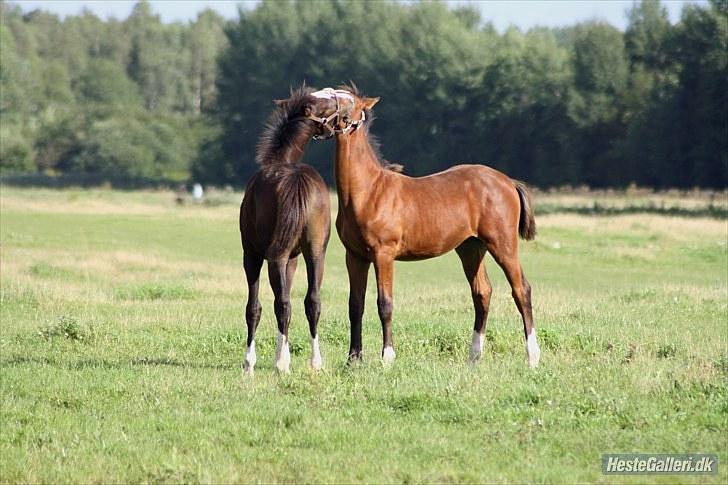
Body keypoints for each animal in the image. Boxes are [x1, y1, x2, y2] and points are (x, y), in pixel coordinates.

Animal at [308, 86, 540, 366]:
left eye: (345, 101)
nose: (311, 112)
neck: (368, 191)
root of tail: (507, 182)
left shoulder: (383, 254)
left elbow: (384, 303)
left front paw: (387, 357)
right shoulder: (354, 256)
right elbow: (355, 305)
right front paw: (353, 359)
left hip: (502, 244)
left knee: (521, 290)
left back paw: (533, 357)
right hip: (471, 248)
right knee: (482, 292)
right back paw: (474, 357)